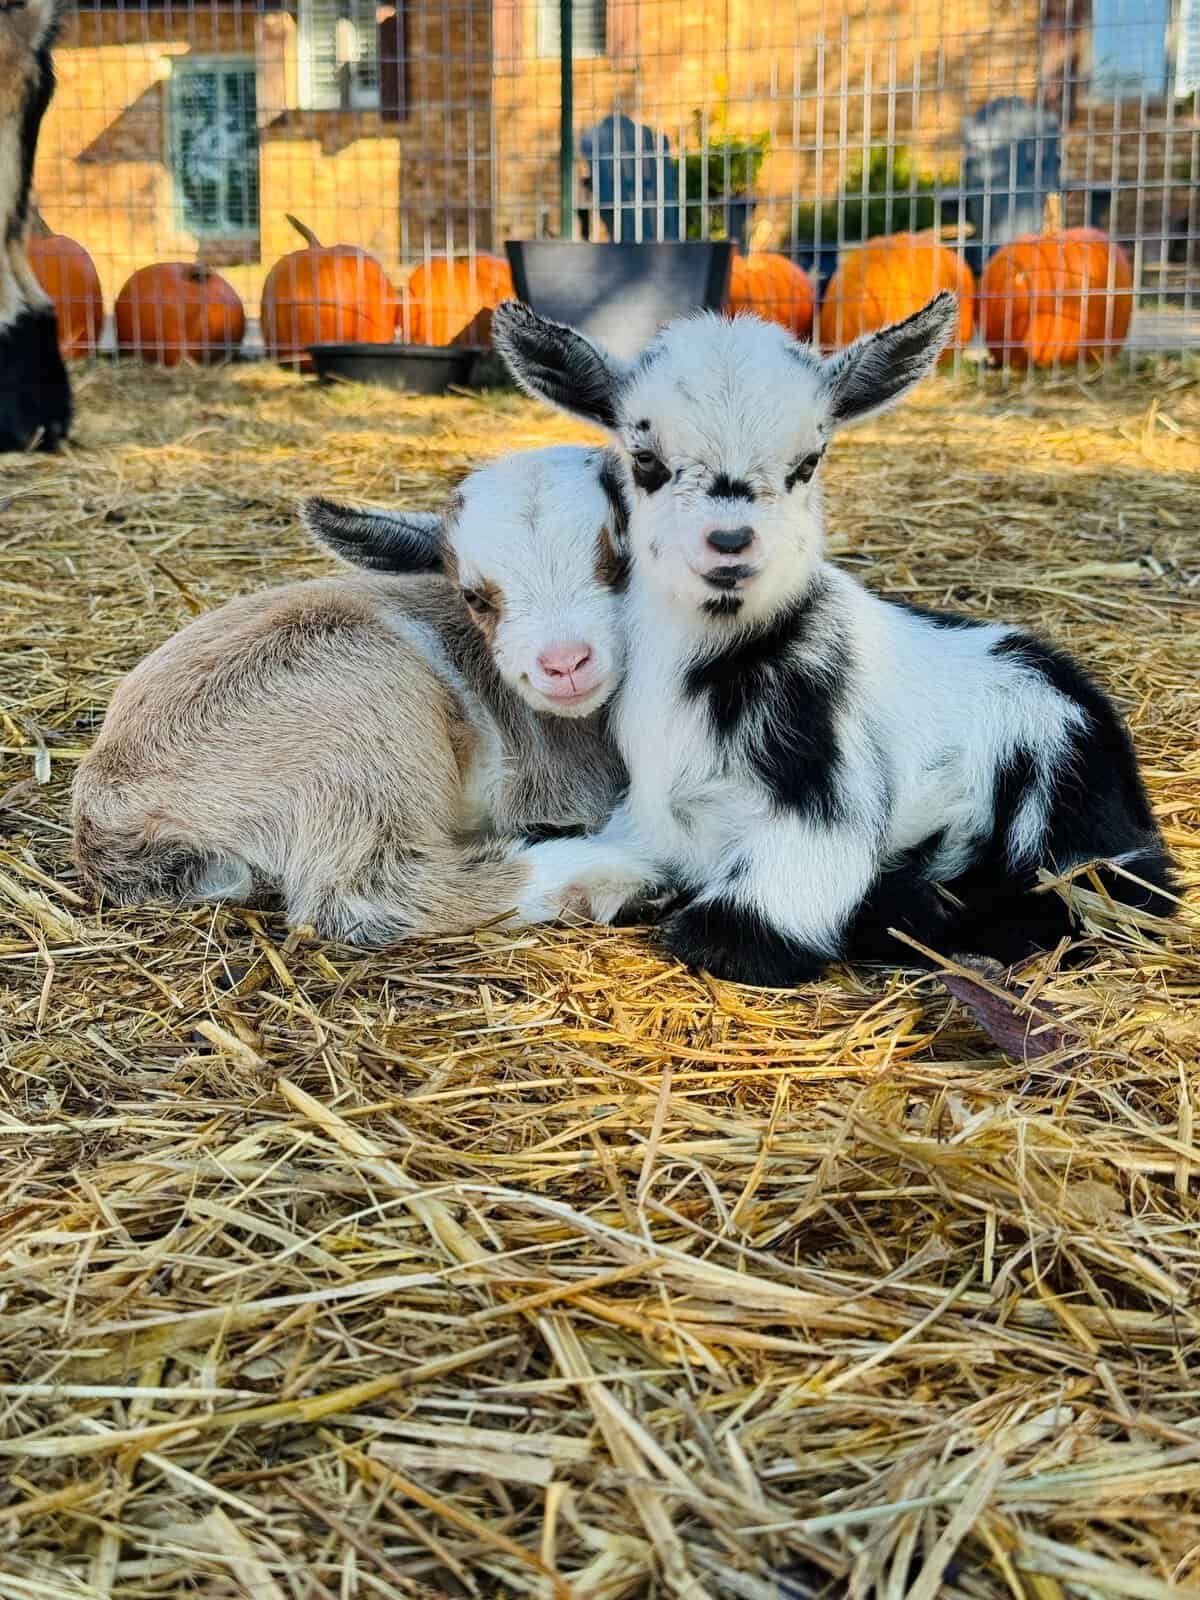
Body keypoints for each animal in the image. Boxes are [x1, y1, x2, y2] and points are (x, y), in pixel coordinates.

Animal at [72, 446, 629, 945]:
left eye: (617, 563)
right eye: (474, 596)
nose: (564, 663)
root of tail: (107, 807)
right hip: (362, 733)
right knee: (374, 889)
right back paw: (622, 867)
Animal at [494, 296, 1176, 985]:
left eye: (807, 462)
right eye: (646, 461)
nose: (731, 542)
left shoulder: (824, 790)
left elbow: (733, 934)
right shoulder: (646, 813)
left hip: (1056, 767)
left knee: (1107, 885)